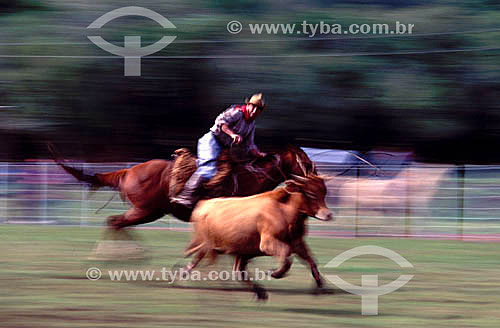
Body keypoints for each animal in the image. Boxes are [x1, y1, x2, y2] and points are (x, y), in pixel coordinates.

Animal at [50, 145, 316, 229]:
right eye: (305, 161)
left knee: (116, 223)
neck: (250, 178)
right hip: (144, 210)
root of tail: (127, 172)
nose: (315, 177)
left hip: (150, 212)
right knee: (115, 222)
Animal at [183, 174, 332, 300]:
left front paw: (320, 285)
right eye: (311, 193)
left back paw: (259, 292)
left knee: (238, 271)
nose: (328, 214)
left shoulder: (297, 243)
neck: (284, 210)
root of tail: (203, 204)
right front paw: (276, 273)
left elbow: (311, 261)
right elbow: (287, 256)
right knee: (200, 260)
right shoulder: (267, 243)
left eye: (324, 192)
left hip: (241, 252)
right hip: (208, 245)